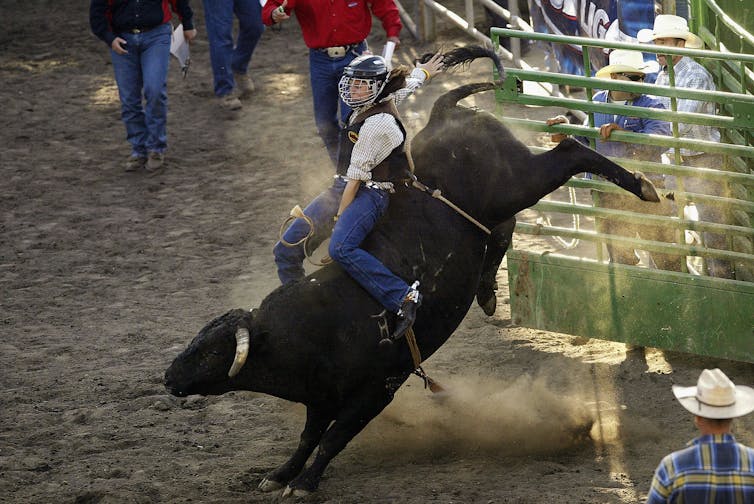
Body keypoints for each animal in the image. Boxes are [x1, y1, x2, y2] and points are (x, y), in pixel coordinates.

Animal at [164, 46, 656, 496]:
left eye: (209, 353)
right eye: (195, 342)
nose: (168, 377)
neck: (309, 327)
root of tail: (443, 115)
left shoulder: (378, 387)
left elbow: (334, 438)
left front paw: (304, 482)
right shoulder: (321, 395)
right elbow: (309, 436)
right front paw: (281, 474)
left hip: (518, 181)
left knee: (570, 150)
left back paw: (643, 186)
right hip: (498, 207)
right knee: (503, 230)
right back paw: (487, 294)